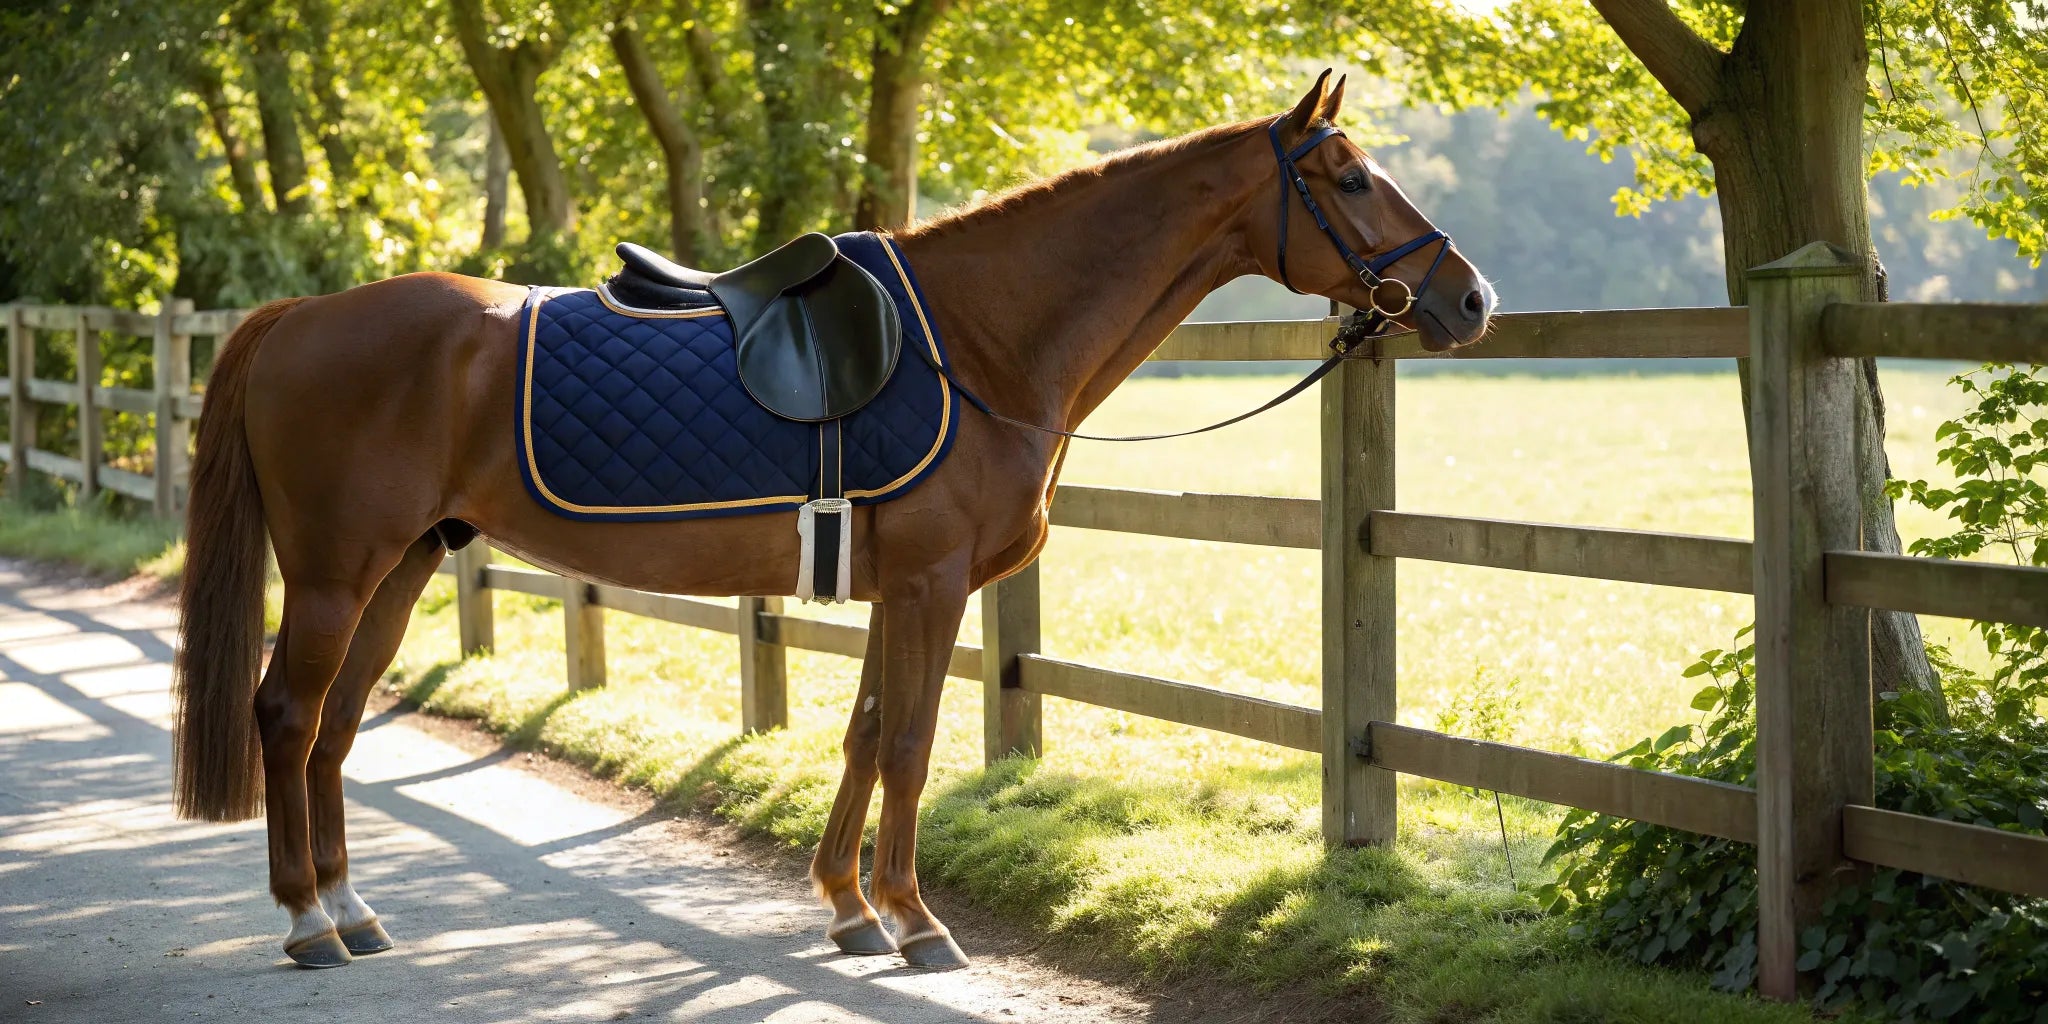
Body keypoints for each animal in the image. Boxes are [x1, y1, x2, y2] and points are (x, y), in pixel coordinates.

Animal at [170, 71, 1493, 970]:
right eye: (1347, 177)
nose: (1469, 298)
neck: (977, 341)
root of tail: (296, 316)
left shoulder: (887, 588)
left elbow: (860, 736)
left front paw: (849, 908)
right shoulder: (932, 585)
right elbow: (908, 743)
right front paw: (913, 921)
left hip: (397, 569)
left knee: (334, 727)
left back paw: (352, 908)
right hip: (336, 574)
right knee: (286, 716)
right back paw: (306, 920)